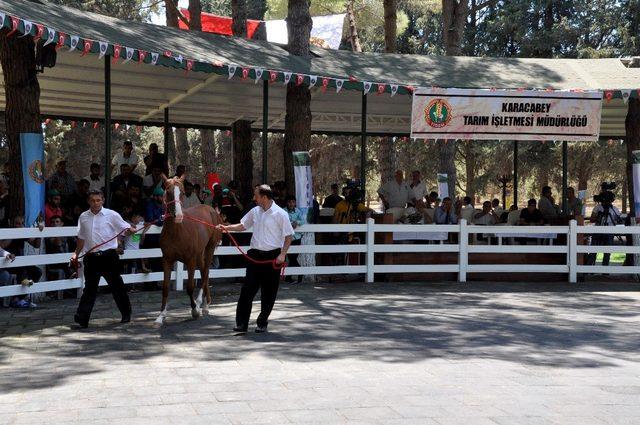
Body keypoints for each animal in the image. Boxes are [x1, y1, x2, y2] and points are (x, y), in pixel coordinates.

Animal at [156, 174, 224, 322]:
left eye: (181, 192)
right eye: (168, 192)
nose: (178, 216)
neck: (177, 231)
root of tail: (211, 210)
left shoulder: (190, 261)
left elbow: (190, 287)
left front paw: (194, 310)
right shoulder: (167, 260)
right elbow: (165, 287)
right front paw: (161, 315)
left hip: (209, 249)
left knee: (205, 273)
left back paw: (201, 305)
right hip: (199, 254)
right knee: (204, 272)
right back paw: (206, 304)